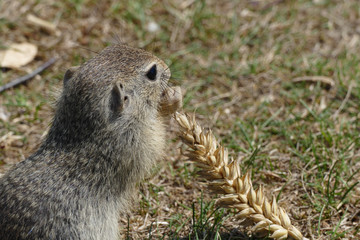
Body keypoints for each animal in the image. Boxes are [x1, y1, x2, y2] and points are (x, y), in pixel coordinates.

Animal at [0, 44, 181, 239]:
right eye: (152, 72)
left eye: (110, 49)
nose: (167, 68)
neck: (81, 132)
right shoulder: (136, 141)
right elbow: (157, 139)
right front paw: (172, 100)